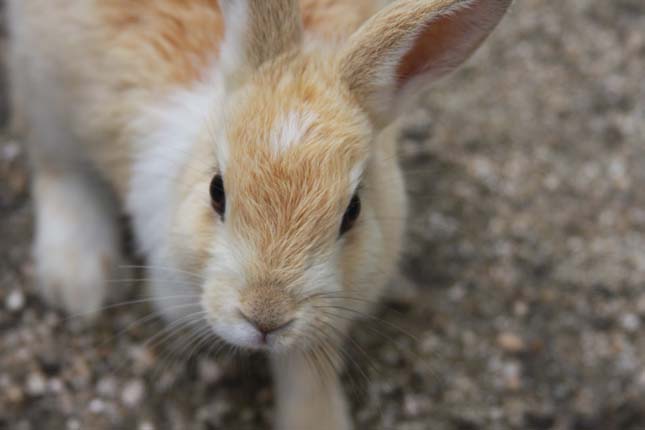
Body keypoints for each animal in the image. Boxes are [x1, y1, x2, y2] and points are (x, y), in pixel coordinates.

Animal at [7, 0, 510, 426]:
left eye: (352, 211)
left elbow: (306, 369)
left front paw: (317, 422)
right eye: (217, 191)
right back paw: (78, 282)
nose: (265, 318)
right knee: (55, 162)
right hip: (42, 84)